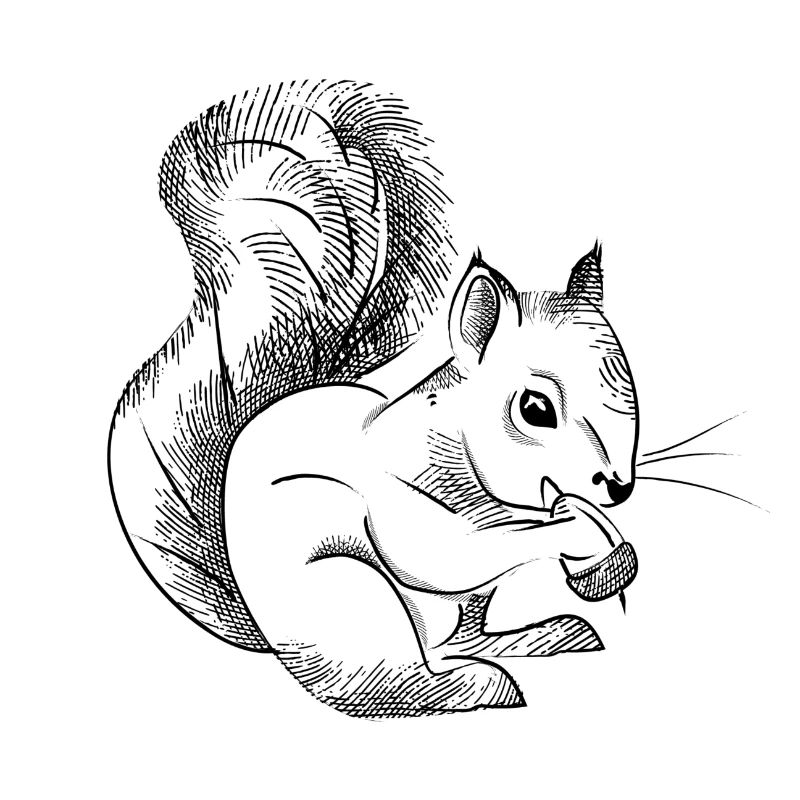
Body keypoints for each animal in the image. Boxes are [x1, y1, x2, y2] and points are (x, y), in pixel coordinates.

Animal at [108, 80, 639, 718]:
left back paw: (544, 636)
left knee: (463, 641)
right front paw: (576, 535)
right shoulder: (393, 494)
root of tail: (268, 636)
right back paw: (472, 687)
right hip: (349, 596)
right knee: (388, 683)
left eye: (629, 384)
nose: (618, 487)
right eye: (535, 410)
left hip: (459, 611)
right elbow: (438, 553)